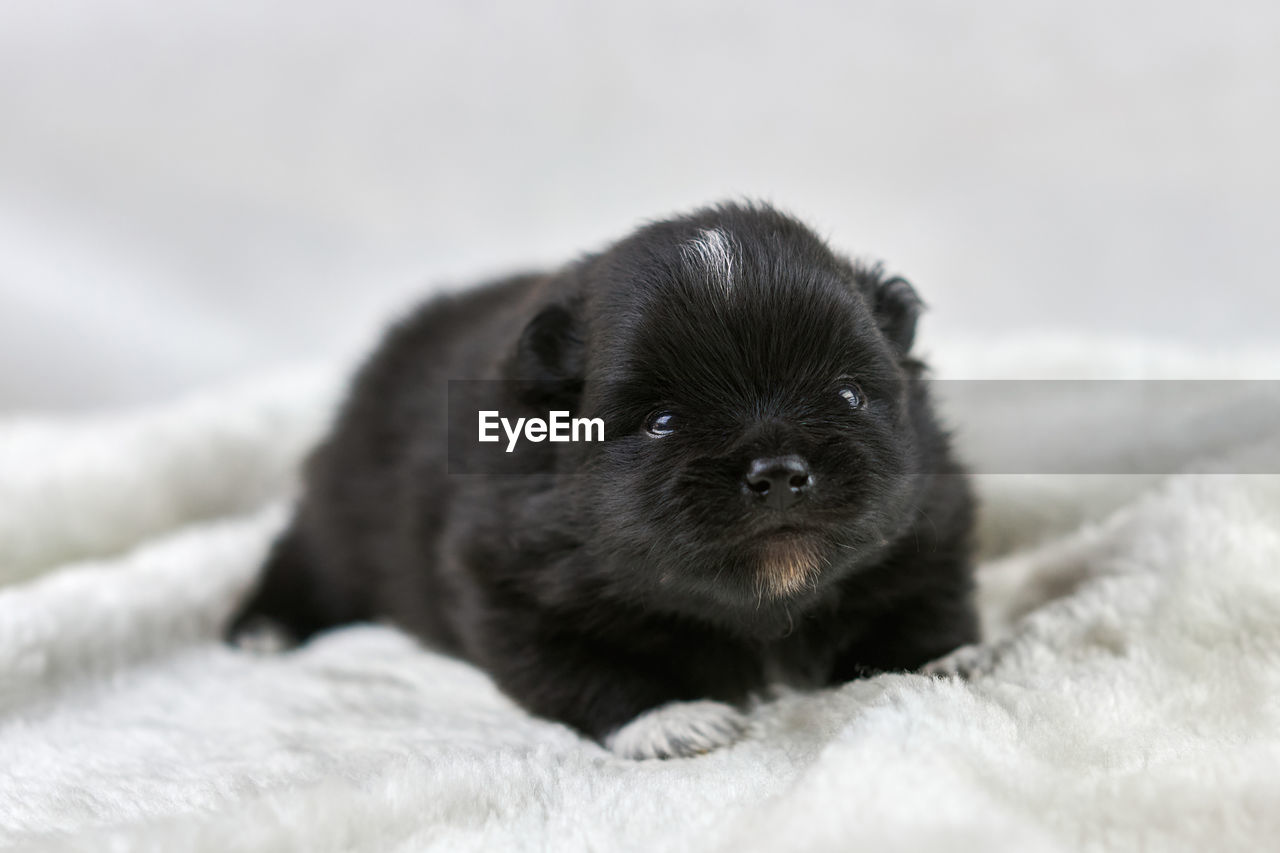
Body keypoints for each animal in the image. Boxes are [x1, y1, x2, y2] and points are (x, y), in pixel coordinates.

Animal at [230, 201, 972, 758]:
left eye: (848, 395)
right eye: (663, 421)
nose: (780, 472)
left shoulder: (931, 520)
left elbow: (923, 601)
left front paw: (936, 661)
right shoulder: (511, 586)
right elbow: (589, 667)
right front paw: (668, 715)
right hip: (345, 512)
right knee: (306, 549)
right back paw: (265, 624)